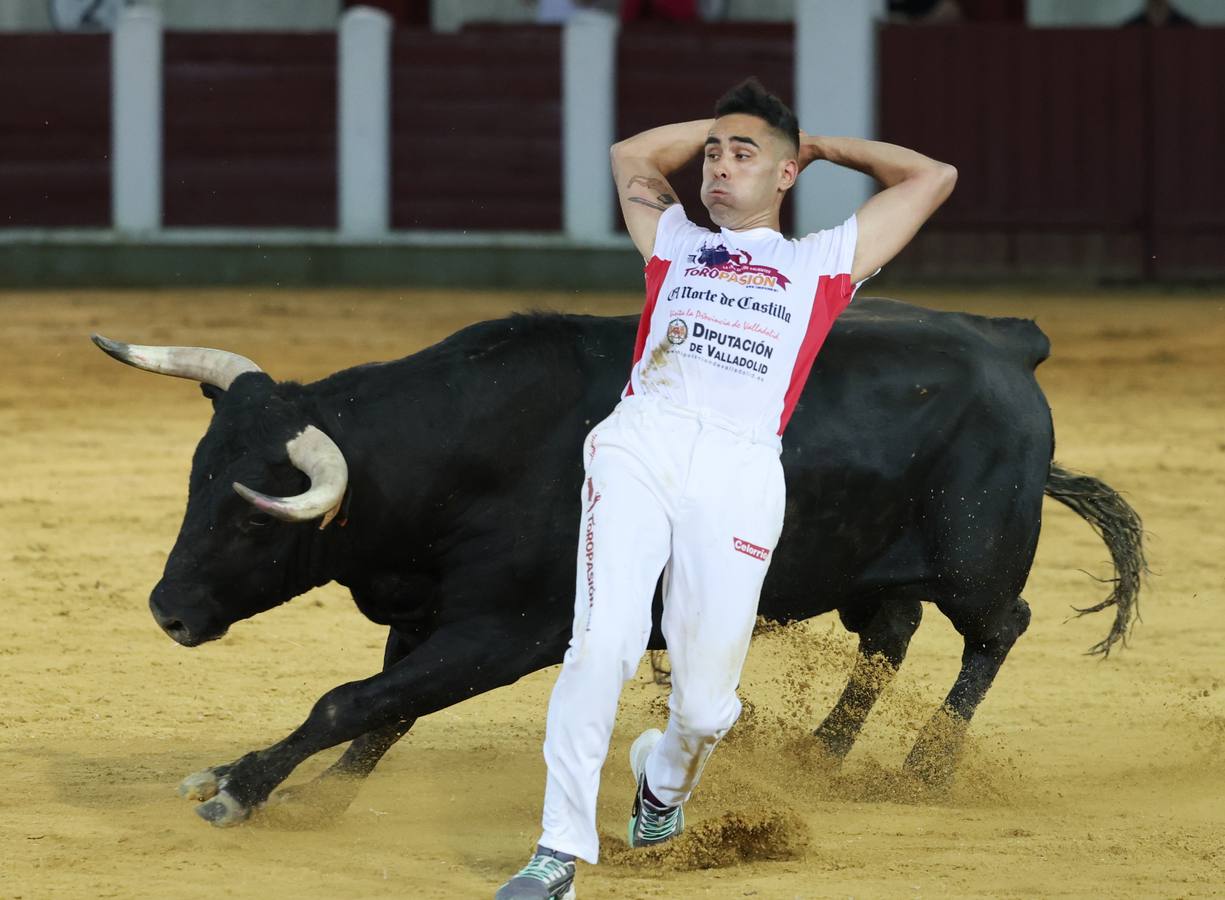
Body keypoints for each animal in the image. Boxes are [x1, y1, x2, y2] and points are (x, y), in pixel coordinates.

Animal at [95, 301, 1146, 832]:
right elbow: (382, 708)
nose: (167, 610)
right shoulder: (430, 613)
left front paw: (239, 786)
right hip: (869, 571)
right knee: (890, 631)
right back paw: (819, 755)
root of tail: (1010, 341)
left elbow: (350, 700)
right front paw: (321, 797)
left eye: (253, 521)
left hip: (976, 557)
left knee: (995, 630)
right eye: (196, 481)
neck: (467, 449)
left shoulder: (508, 631)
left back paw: (923, 768)